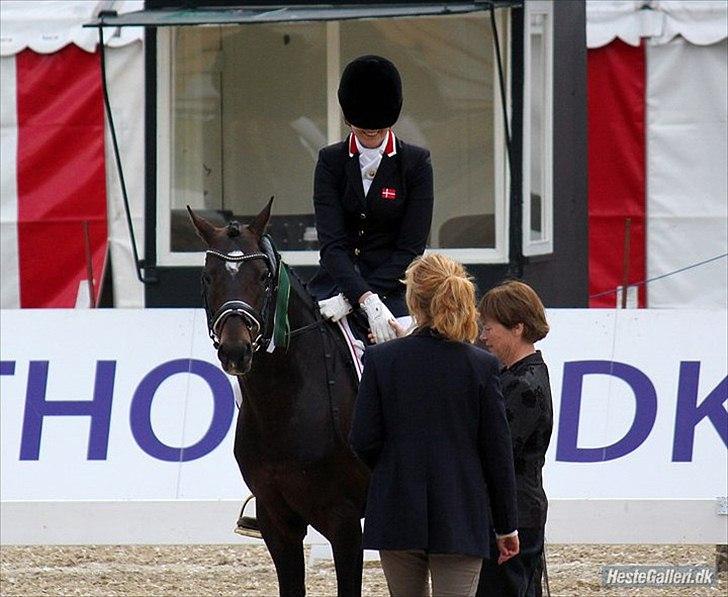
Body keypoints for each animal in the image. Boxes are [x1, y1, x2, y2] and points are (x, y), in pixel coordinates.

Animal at [188, 200, 370, 596]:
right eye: (208, 277)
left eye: (263, 277)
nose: (235, 351)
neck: (284, 405)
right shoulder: (277, 521)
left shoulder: (345, 521)